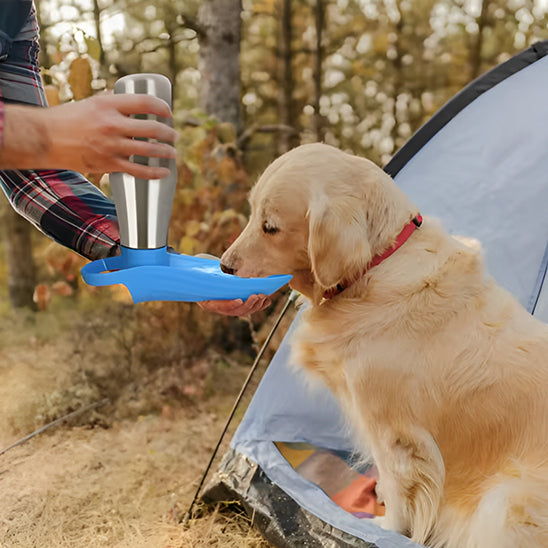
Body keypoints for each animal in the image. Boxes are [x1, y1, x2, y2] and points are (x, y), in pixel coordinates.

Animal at [220, 143, 548, 544]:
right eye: (252, 214)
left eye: (271, 227)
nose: (224, 266)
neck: (378, 264)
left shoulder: (395, 433)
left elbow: (397, 487)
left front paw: (384, 528)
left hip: (505, 501)